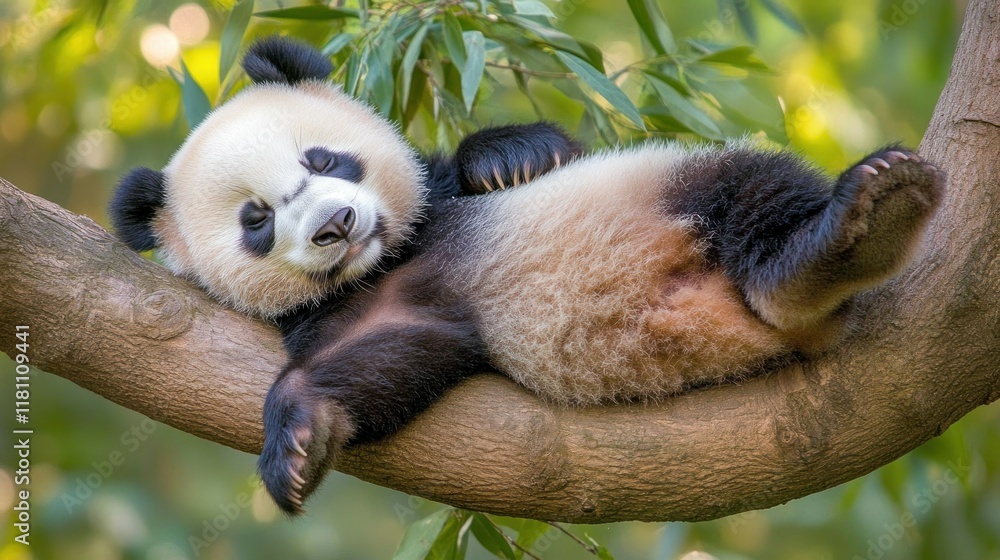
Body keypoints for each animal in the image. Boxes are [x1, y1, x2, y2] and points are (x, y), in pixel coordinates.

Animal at [109, 36, 944, 515]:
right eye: (255, 220)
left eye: (323, 159)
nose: (336, 226)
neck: (392, 258)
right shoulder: (374, 309)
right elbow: (386, 353)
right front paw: (300, 437)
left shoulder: (441, 206)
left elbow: (513, 159)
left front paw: (509, 156)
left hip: (675, 180)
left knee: (752, 188)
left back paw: (855, 228)